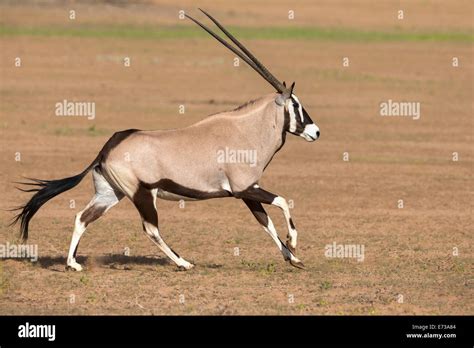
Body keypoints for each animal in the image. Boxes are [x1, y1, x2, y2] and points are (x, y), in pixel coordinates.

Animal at [12, 9, 320, 272]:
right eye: (295, 104)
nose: (315, 132)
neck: (246, 130)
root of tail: (107, 148)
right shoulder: (245, 188)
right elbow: (282, 202)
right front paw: (293, 244)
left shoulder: (246, 192)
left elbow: (265, 222)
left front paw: (294, 259)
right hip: (142, 194)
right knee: (150, 229)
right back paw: (183, 262)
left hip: (110, 193)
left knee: (83, 217)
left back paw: (72, 264)